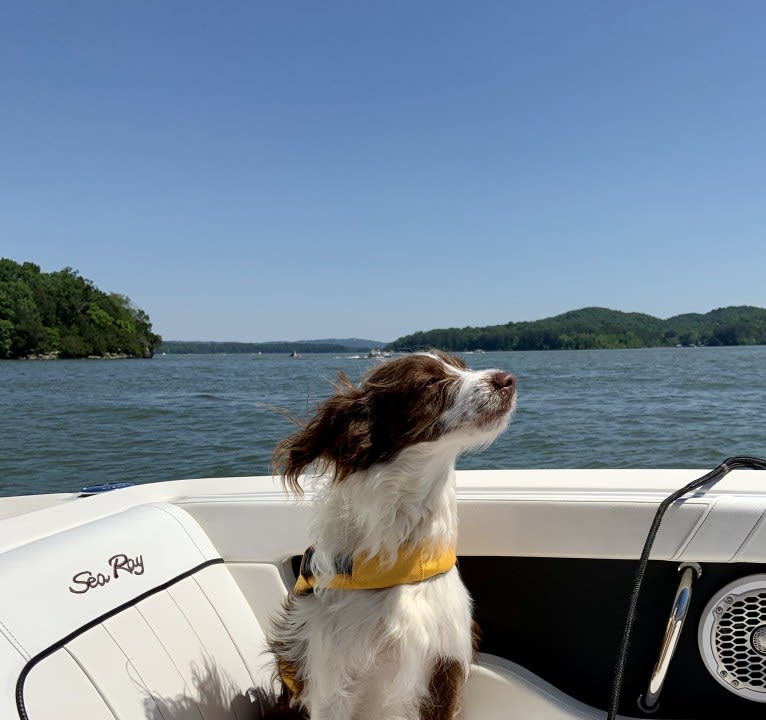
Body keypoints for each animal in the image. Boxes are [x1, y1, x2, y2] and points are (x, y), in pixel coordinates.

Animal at [268, 352, 516, 716]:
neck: (400, 560)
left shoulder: (446, 668)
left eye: (463, 365)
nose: (507, 379)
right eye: (429, 382)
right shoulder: (331, 684)